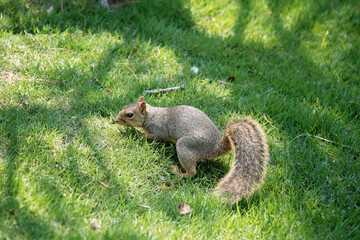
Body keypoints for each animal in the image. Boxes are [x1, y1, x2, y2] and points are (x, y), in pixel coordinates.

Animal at [114, 95, 268, 202]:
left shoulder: (158, 130)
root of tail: (215, 148)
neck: (150, 115)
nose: (115, 120)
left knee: (193, 172)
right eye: (124, 106)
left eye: (130, 114)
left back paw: (179, 173)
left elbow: (150, 138)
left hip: (185, 145)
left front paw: (135, 134)